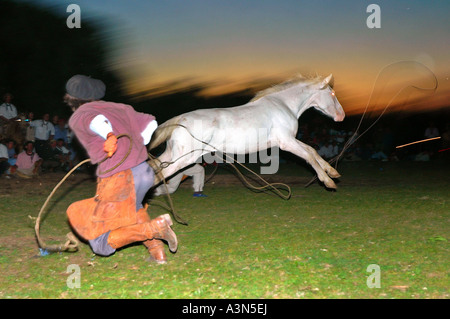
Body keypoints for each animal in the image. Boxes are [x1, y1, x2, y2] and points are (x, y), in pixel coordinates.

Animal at [150, 74, 344, 190]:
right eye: (332, 94)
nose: (341, 116)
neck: (283, 104)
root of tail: (180, 120)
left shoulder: (288, 140)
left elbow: (312, 150)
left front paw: (332, 172)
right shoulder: (286, 142)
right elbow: (308, 155)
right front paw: (327, 181)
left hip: (172, 154)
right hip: (184, 158)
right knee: (161, 174)